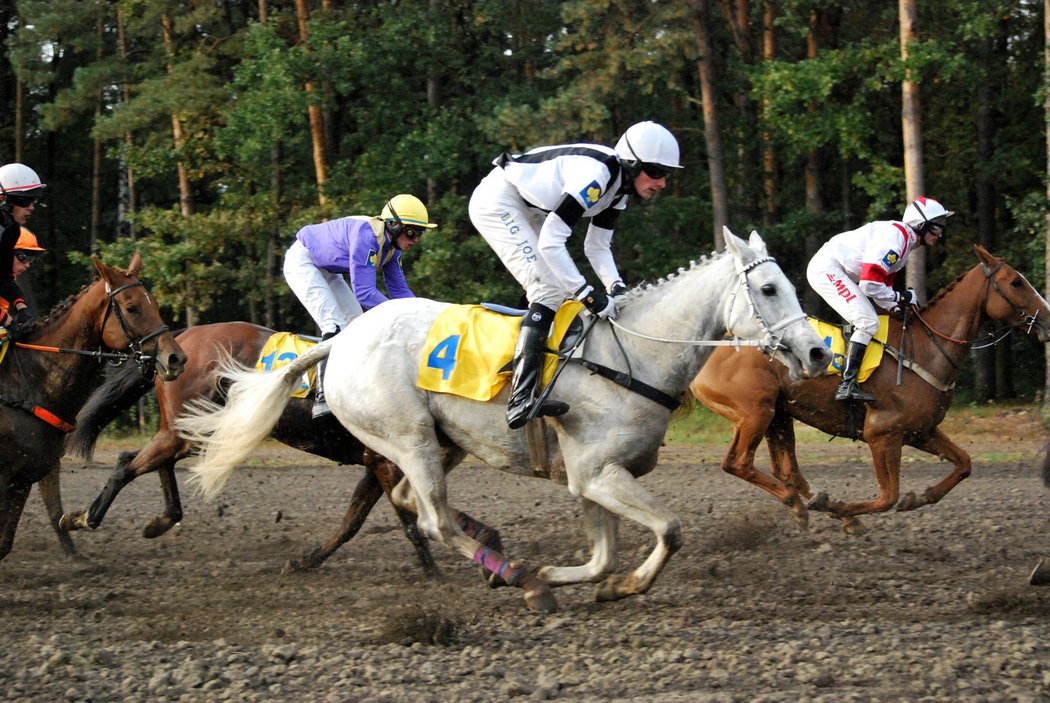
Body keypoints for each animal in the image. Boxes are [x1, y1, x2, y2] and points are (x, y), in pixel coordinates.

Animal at [0, 253, 184, 562]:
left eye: (156, 304)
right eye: (132, 308)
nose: (176, 358)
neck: (28, 384)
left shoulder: (25, 476)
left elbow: (6, 542)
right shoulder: (7, 477)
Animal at [58, 323, 443, 574]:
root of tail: (179, 340)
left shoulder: (376, 463)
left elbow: (353, 520)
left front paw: (305, 560)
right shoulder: (385, 461)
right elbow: (409, 522)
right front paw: (435, 577)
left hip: (193, 430)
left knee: (151, 460)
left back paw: (160, 520)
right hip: (193, 428)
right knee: (128, 464)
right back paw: (83, 517)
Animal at [182, 229, 835, 612]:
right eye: (770, 288)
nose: (815, 353)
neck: (631, 356)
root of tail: (338, 343)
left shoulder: (591, 479)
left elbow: (603, 555)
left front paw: (590, 579)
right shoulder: (597, 472)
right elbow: (670, 530)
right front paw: (619, 584)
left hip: (439, 443)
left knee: (414, 503)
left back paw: (503, 557)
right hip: (409, 438)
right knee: (433, 519)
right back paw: (518, 578)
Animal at [688, 245, 1050, 530]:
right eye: (1016, 282)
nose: (1047, 318)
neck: (927, 349)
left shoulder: (921, 431)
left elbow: (964, 463)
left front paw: (921, 496)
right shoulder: (883, 434)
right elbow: (888, 497)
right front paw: (844, 507)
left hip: (779, 414)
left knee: (786, 469)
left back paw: (819, 505)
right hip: (755, 411)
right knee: (738, 463)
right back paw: (804, 505)